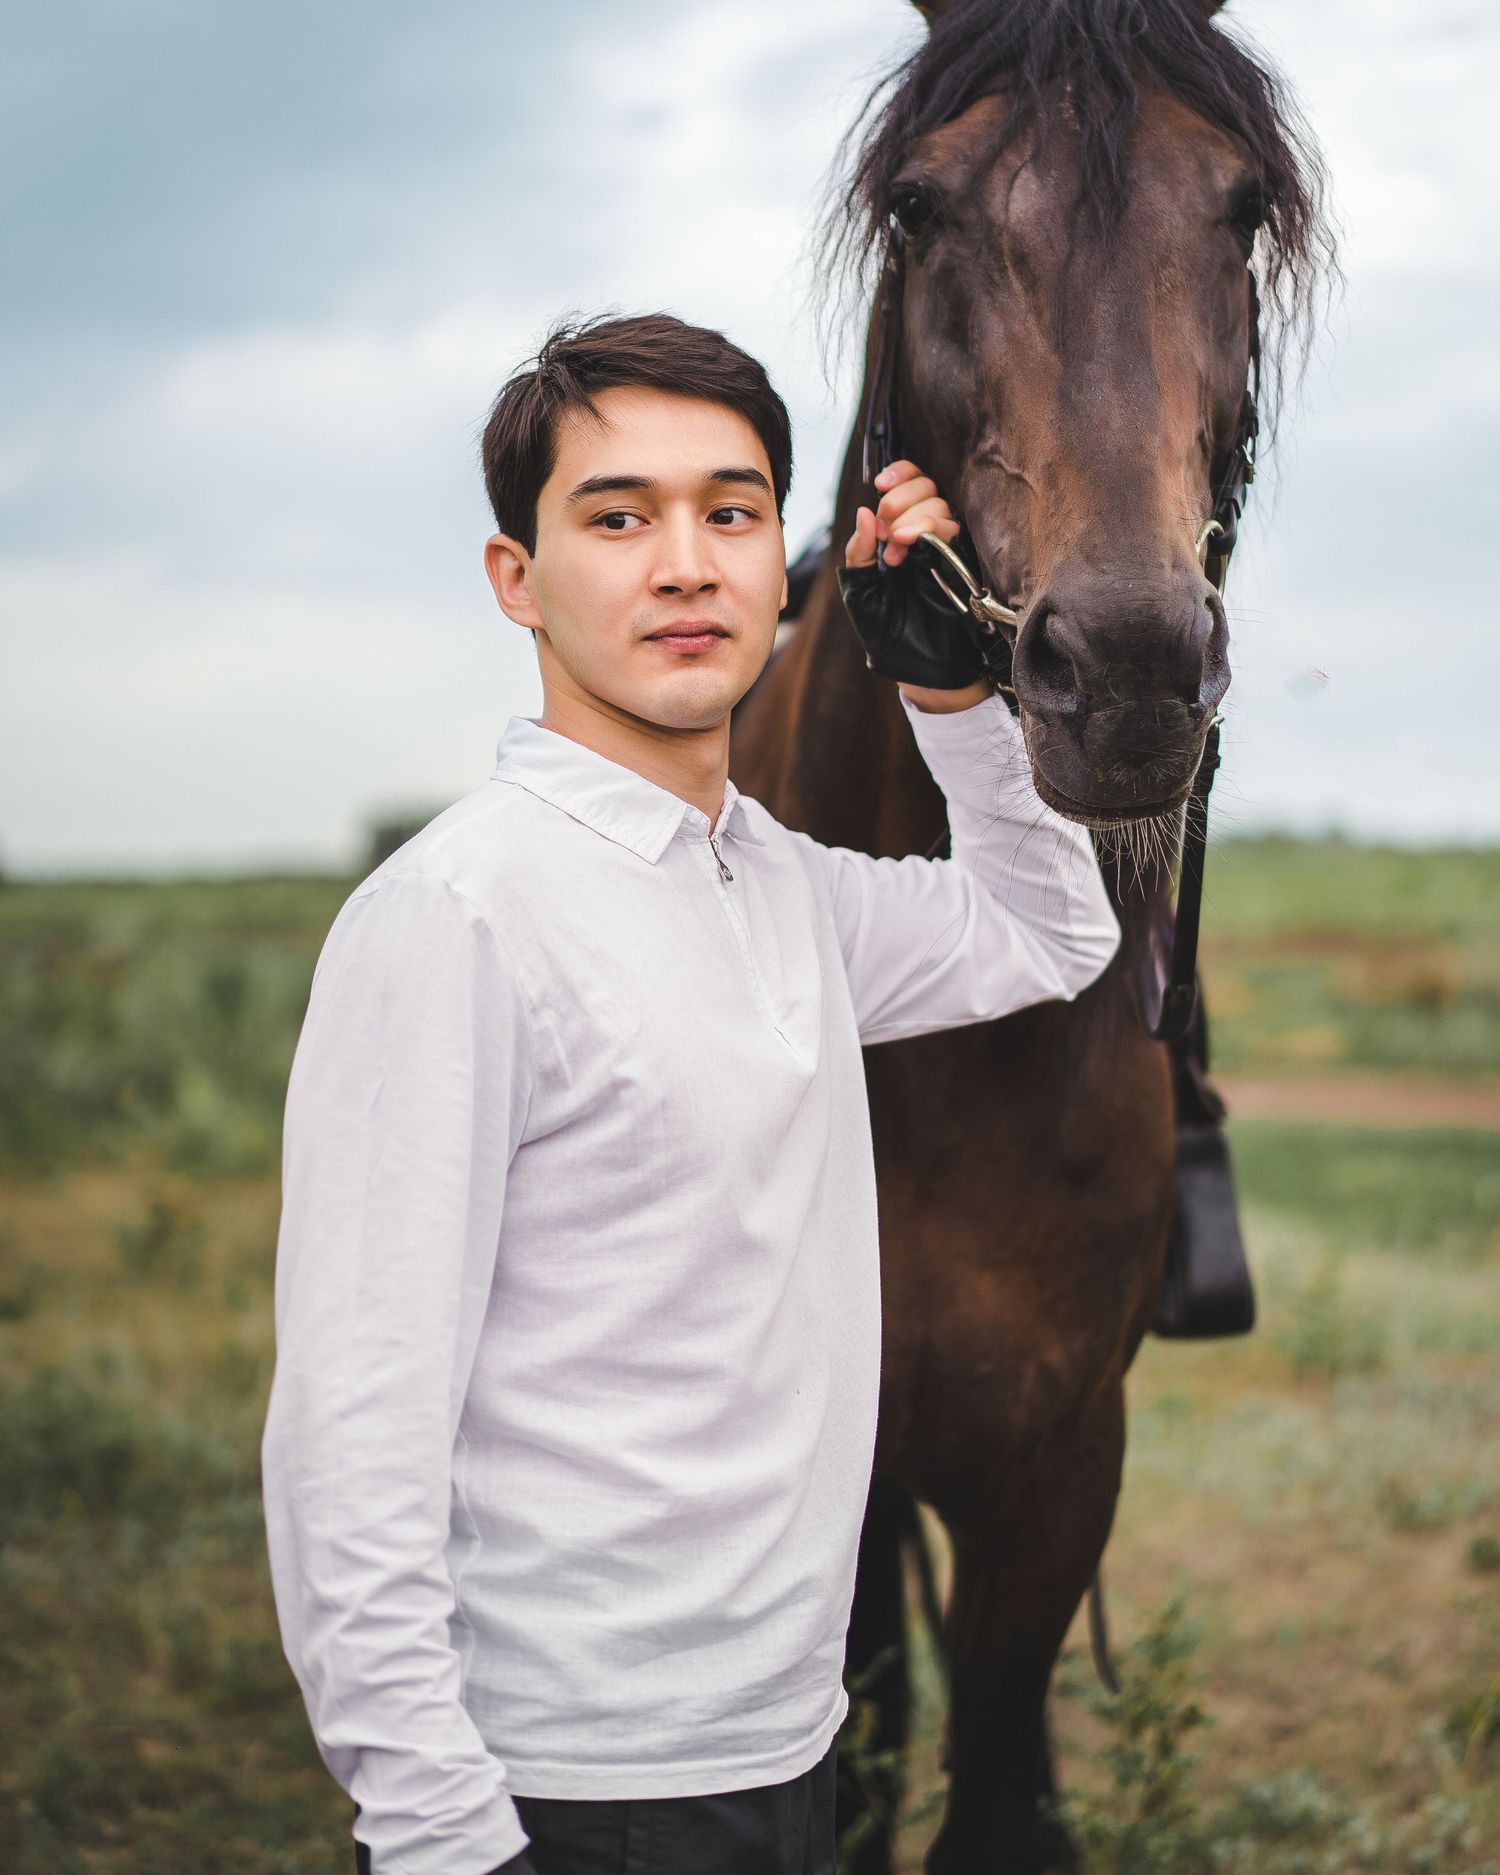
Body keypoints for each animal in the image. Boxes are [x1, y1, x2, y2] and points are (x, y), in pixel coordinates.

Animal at [728, 2, 1332, 1869]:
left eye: (1239, 210)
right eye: (922, 206)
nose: (1127, 669)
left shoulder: (1061, 1459)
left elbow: (992, 1782)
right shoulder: (841, 1481)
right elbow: (854, 1754)